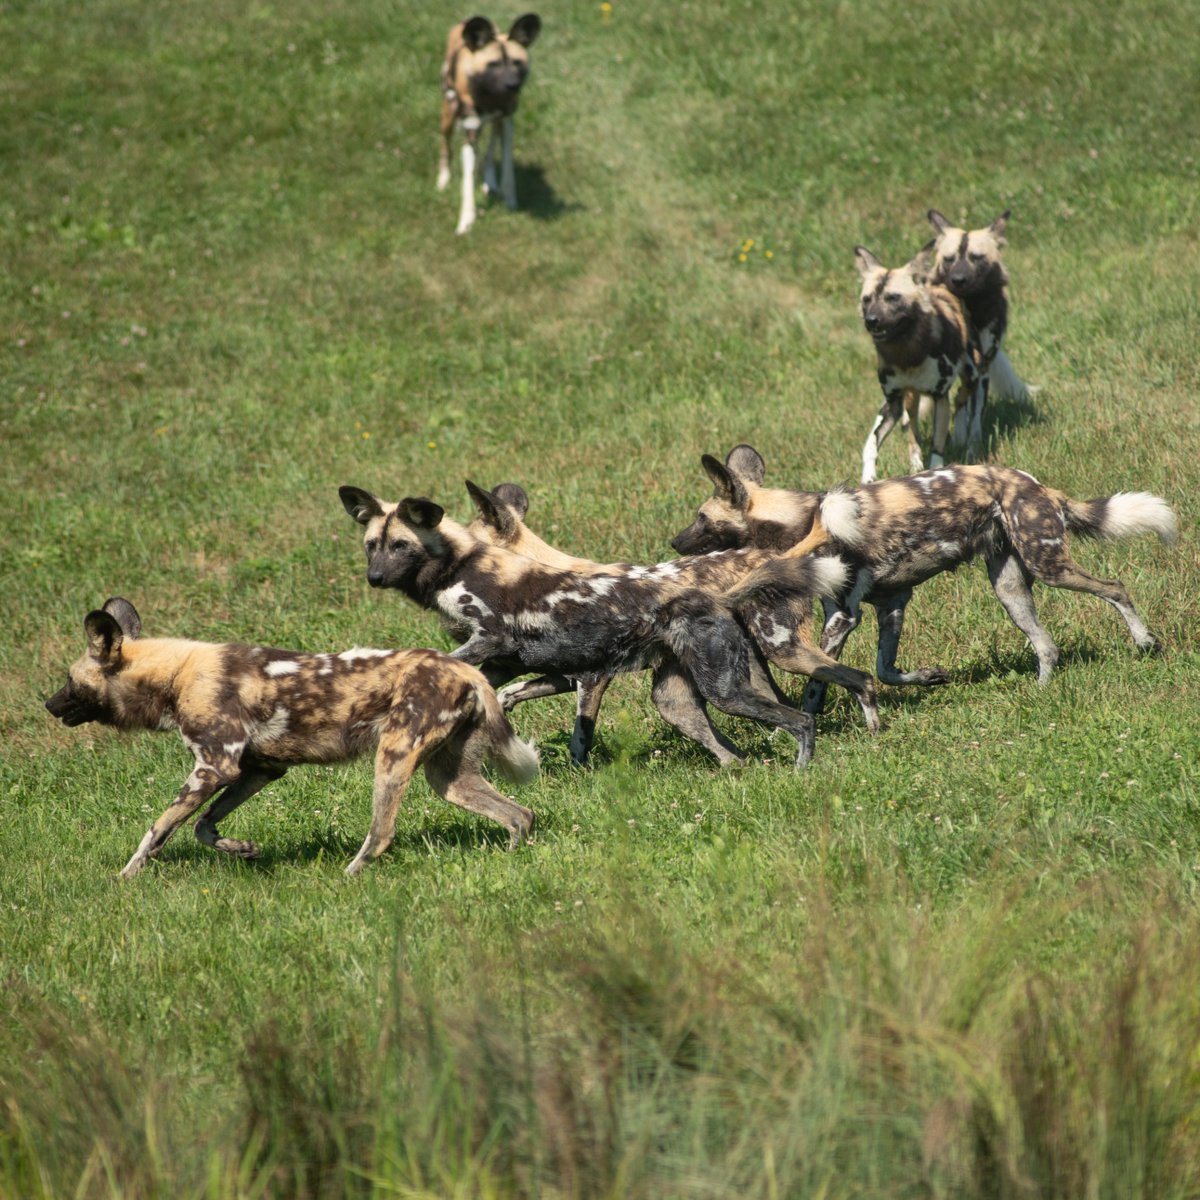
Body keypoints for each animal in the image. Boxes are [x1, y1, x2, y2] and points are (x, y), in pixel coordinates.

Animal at [44, 597, 537, 873]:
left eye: (69, 680)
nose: (48, 704)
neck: (175, 676)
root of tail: (465, 670)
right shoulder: (259, 770)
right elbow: (204, 825)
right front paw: (242, 850)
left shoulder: (213, 768)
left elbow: (157, 830)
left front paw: (126, 877)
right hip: (451, 778)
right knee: (520, 815)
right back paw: (514, 858)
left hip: (393, 757)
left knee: (381, 834)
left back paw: (350, 874)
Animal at [340, 484, 864, 768]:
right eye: (371, 546)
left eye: (401, 545)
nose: (375, 578)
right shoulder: (537, 670)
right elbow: (502, 693)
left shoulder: (552, 664)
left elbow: (578, 736)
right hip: (686, 698)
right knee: (740, 743)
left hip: (744, 678)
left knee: (807, 712)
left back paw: (806, 765)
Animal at [439, 13, 542, 234]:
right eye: (493, 64)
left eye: (517, 63)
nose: (513, 85)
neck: (490, 98)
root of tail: (465, 21)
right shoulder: (470, 134)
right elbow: (467, 182)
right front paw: (466, 221)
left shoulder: (507, 122)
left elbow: (508, 169)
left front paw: (510, 202)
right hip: (448, 116)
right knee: (446, 144)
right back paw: (443, 179)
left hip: (497, 122)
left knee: (491, 146)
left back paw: (490, 181)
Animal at [926, 206, 1032, 453]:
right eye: (949, 259)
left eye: (977, 258)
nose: (958, 280)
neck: (970, 309)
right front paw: (959, 438)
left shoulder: (981, 369)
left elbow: (975, 415)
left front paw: (973, 446)